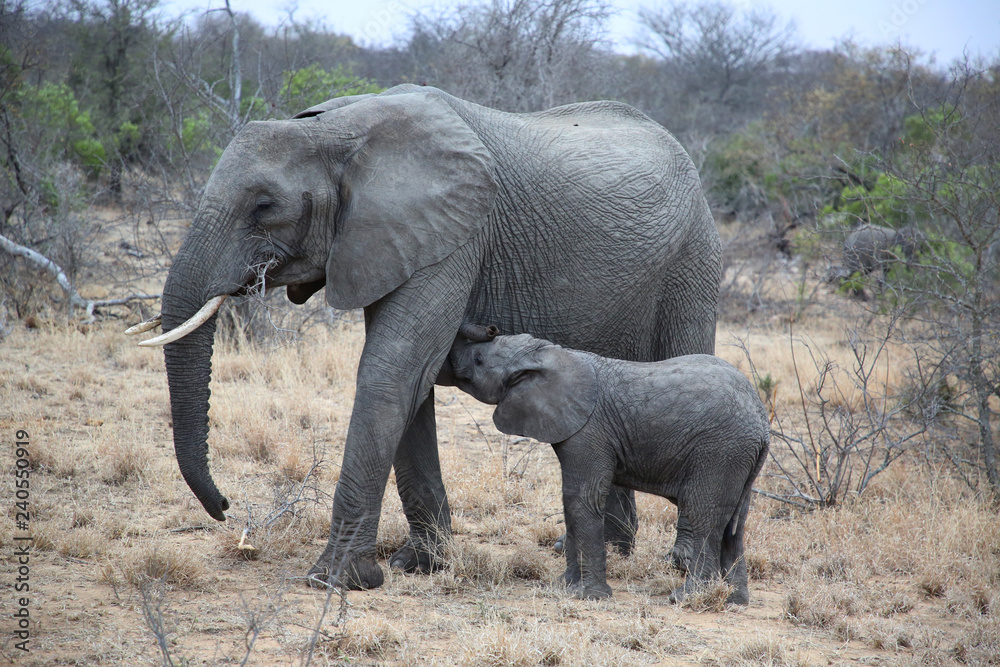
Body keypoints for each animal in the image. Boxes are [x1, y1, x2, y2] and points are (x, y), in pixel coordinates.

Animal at [132, 84, 722, 590]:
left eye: (264, 207)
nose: (226, 507)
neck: (337, 131)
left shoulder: (455, 233)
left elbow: (393, 371)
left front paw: (336, 580)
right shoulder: (392, 239)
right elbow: (411, 380)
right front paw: (421, 563)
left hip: (693, 259)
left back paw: (680, 563)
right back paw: (605, 551)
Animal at [445, 326, 770, 603]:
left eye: (479, 360)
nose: (489, 327)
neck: (550, 354)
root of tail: (762, 423)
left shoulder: (589, 431)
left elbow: (580, 498)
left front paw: (590, 596)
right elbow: (572, 502)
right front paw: (568, 587)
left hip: (720, 451)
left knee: (703, 514)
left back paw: (685, 598)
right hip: (738, 457)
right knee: (734, 525)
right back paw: (735, 601)